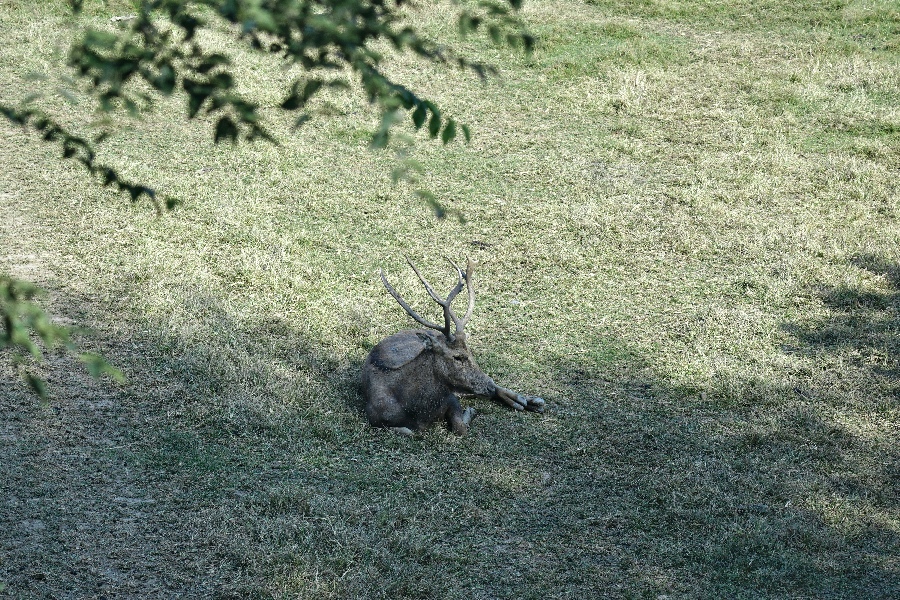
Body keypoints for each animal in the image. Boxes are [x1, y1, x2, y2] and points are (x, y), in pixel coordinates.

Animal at [358, 255, 540, 434]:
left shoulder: (450, 398)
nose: (488, 386)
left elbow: (460, 428)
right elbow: (410, 432)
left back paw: (529, 401)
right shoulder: (374, 419)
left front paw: (470, 412)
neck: (417, 410)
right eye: (458, 357)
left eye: (470, 353)